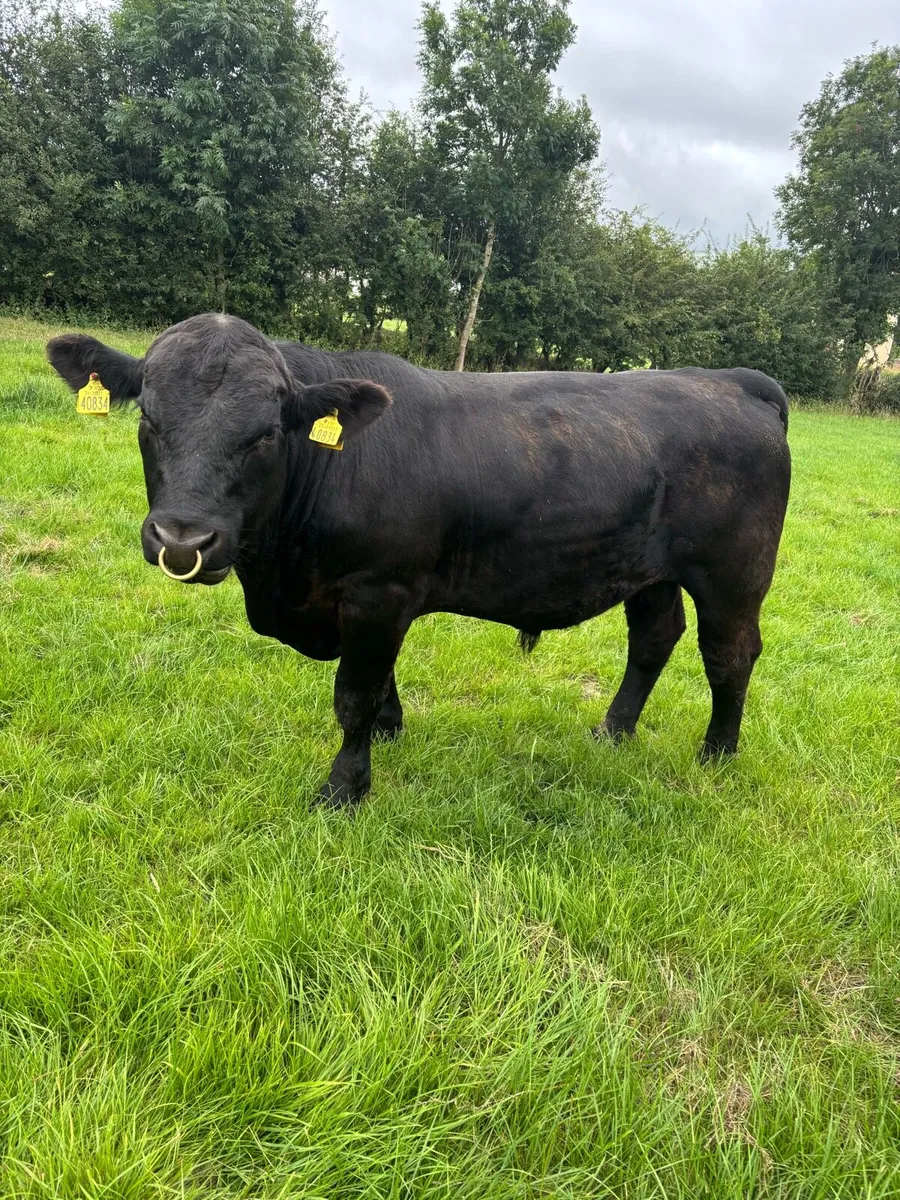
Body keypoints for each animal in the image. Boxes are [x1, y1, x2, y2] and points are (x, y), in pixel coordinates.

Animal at [48, 314, 791, 808]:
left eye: (265, 434)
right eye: (148, 419)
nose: (183, 541)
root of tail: (732, 380)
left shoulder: (377, 592)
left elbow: (352, 693)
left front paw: (344, 787)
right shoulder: (370, 601)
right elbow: (378, 683)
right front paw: (390, 730)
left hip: (733, 575)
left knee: (728, 654)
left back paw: (716, 754)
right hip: (647, 570)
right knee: (654, 637)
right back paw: (612, 731)